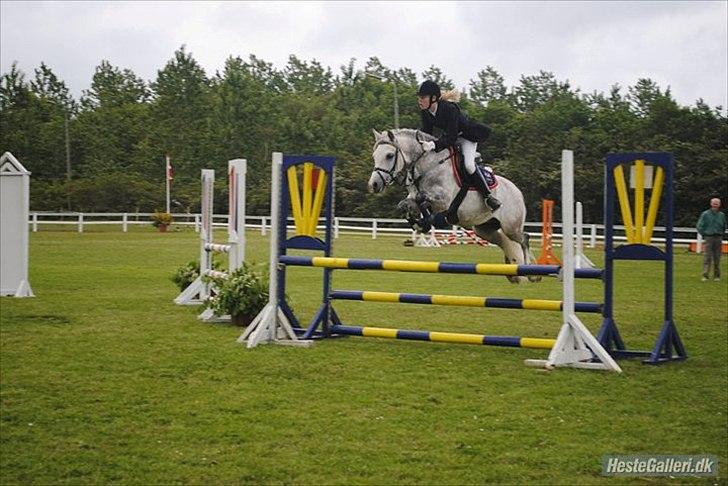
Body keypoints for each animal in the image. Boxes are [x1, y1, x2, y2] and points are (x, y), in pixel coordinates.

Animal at [368, 128, 537, 283]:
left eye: (389, 155)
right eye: (374, 156)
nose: (374, 185)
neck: (428, 166)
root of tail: (518, 192)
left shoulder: (443, 201)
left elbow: (423, 200)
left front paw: (427, 222)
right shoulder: (413, 198)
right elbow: (405, 204)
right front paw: (419, 223)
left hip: (511, 226)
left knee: (524, 239)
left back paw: (529, 273)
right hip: (484, 229)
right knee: (503, 241)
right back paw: (513, 272)